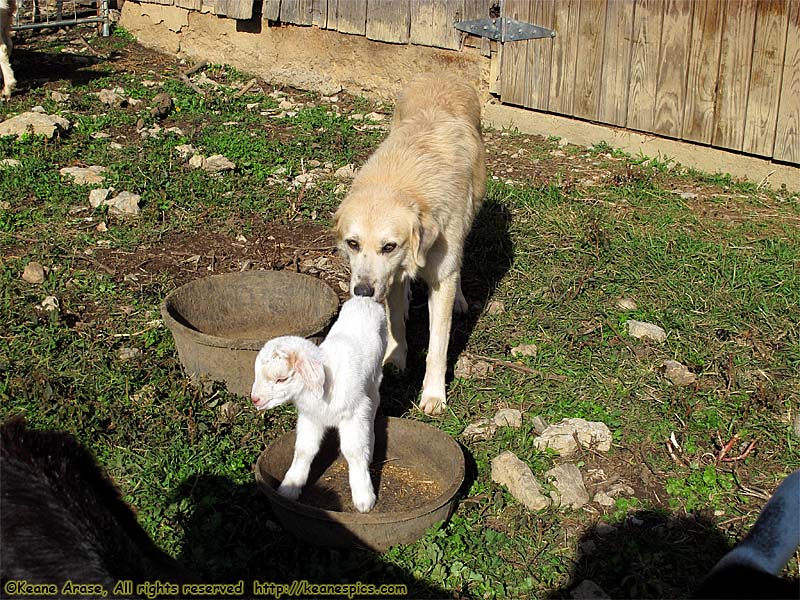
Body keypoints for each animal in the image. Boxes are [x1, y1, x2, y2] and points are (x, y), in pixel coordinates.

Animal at [250, 296, 388, 510]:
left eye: (282, 378)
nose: (255, 399)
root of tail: (363, 299)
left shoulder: (353, 415)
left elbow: (353, 451)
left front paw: (364, 499)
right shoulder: (310, 418)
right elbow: (304, 450)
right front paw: (289, 488)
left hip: (374, 382)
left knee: (373, 406)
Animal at [332, 72, 484, 414]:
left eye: (389, 246)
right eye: (352, 243)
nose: (362, 292)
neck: (403, 182)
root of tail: (442, 74)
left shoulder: (439, 276)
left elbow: (438, 346)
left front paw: (434, 395)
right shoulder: (388, 275)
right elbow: (396, 327)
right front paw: (396, 359)